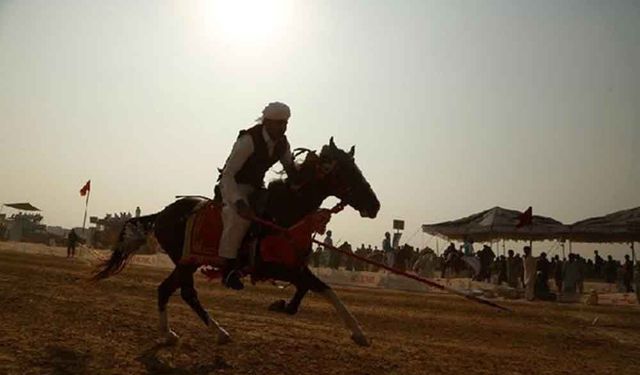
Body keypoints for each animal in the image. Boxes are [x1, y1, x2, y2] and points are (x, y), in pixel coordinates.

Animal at [91, 140, 380, 348]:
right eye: (345, 172)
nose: (374, 205)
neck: (283, 212)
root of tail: (162, 214)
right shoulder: (275, 268)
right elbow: (323, 289)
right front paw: (359, 333)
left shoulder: (295, 267)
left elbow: (312, 290)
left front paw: (283, 305)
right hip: (185, 262)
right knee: (180, 292)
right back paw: (207, 332)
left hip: (187, 262)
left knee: (172, 290)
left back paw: (180, 333)